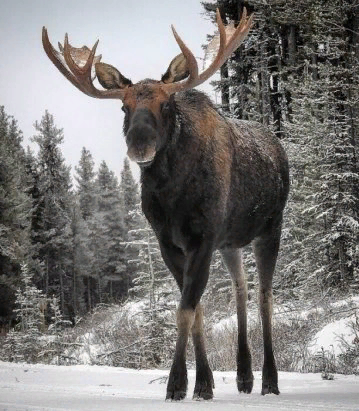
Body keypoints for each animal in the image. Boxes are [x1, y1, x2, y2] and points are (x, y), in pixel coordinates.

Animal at [42, 8, 290, 402]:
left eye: (166, 104)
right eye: (124, 106)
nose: (139, 145)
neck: (172, 197)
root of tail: (279, 146)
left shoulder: (202, 238)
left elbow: (184, 310)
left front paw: (178, 384)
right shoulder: (169, 242)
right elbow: (198, 308)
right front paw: (203, 383)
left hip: (271, 227)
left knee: (266, 295)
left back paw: (269, 379)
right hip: (231, 242)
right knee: (242, 288)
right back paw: (244, 376)